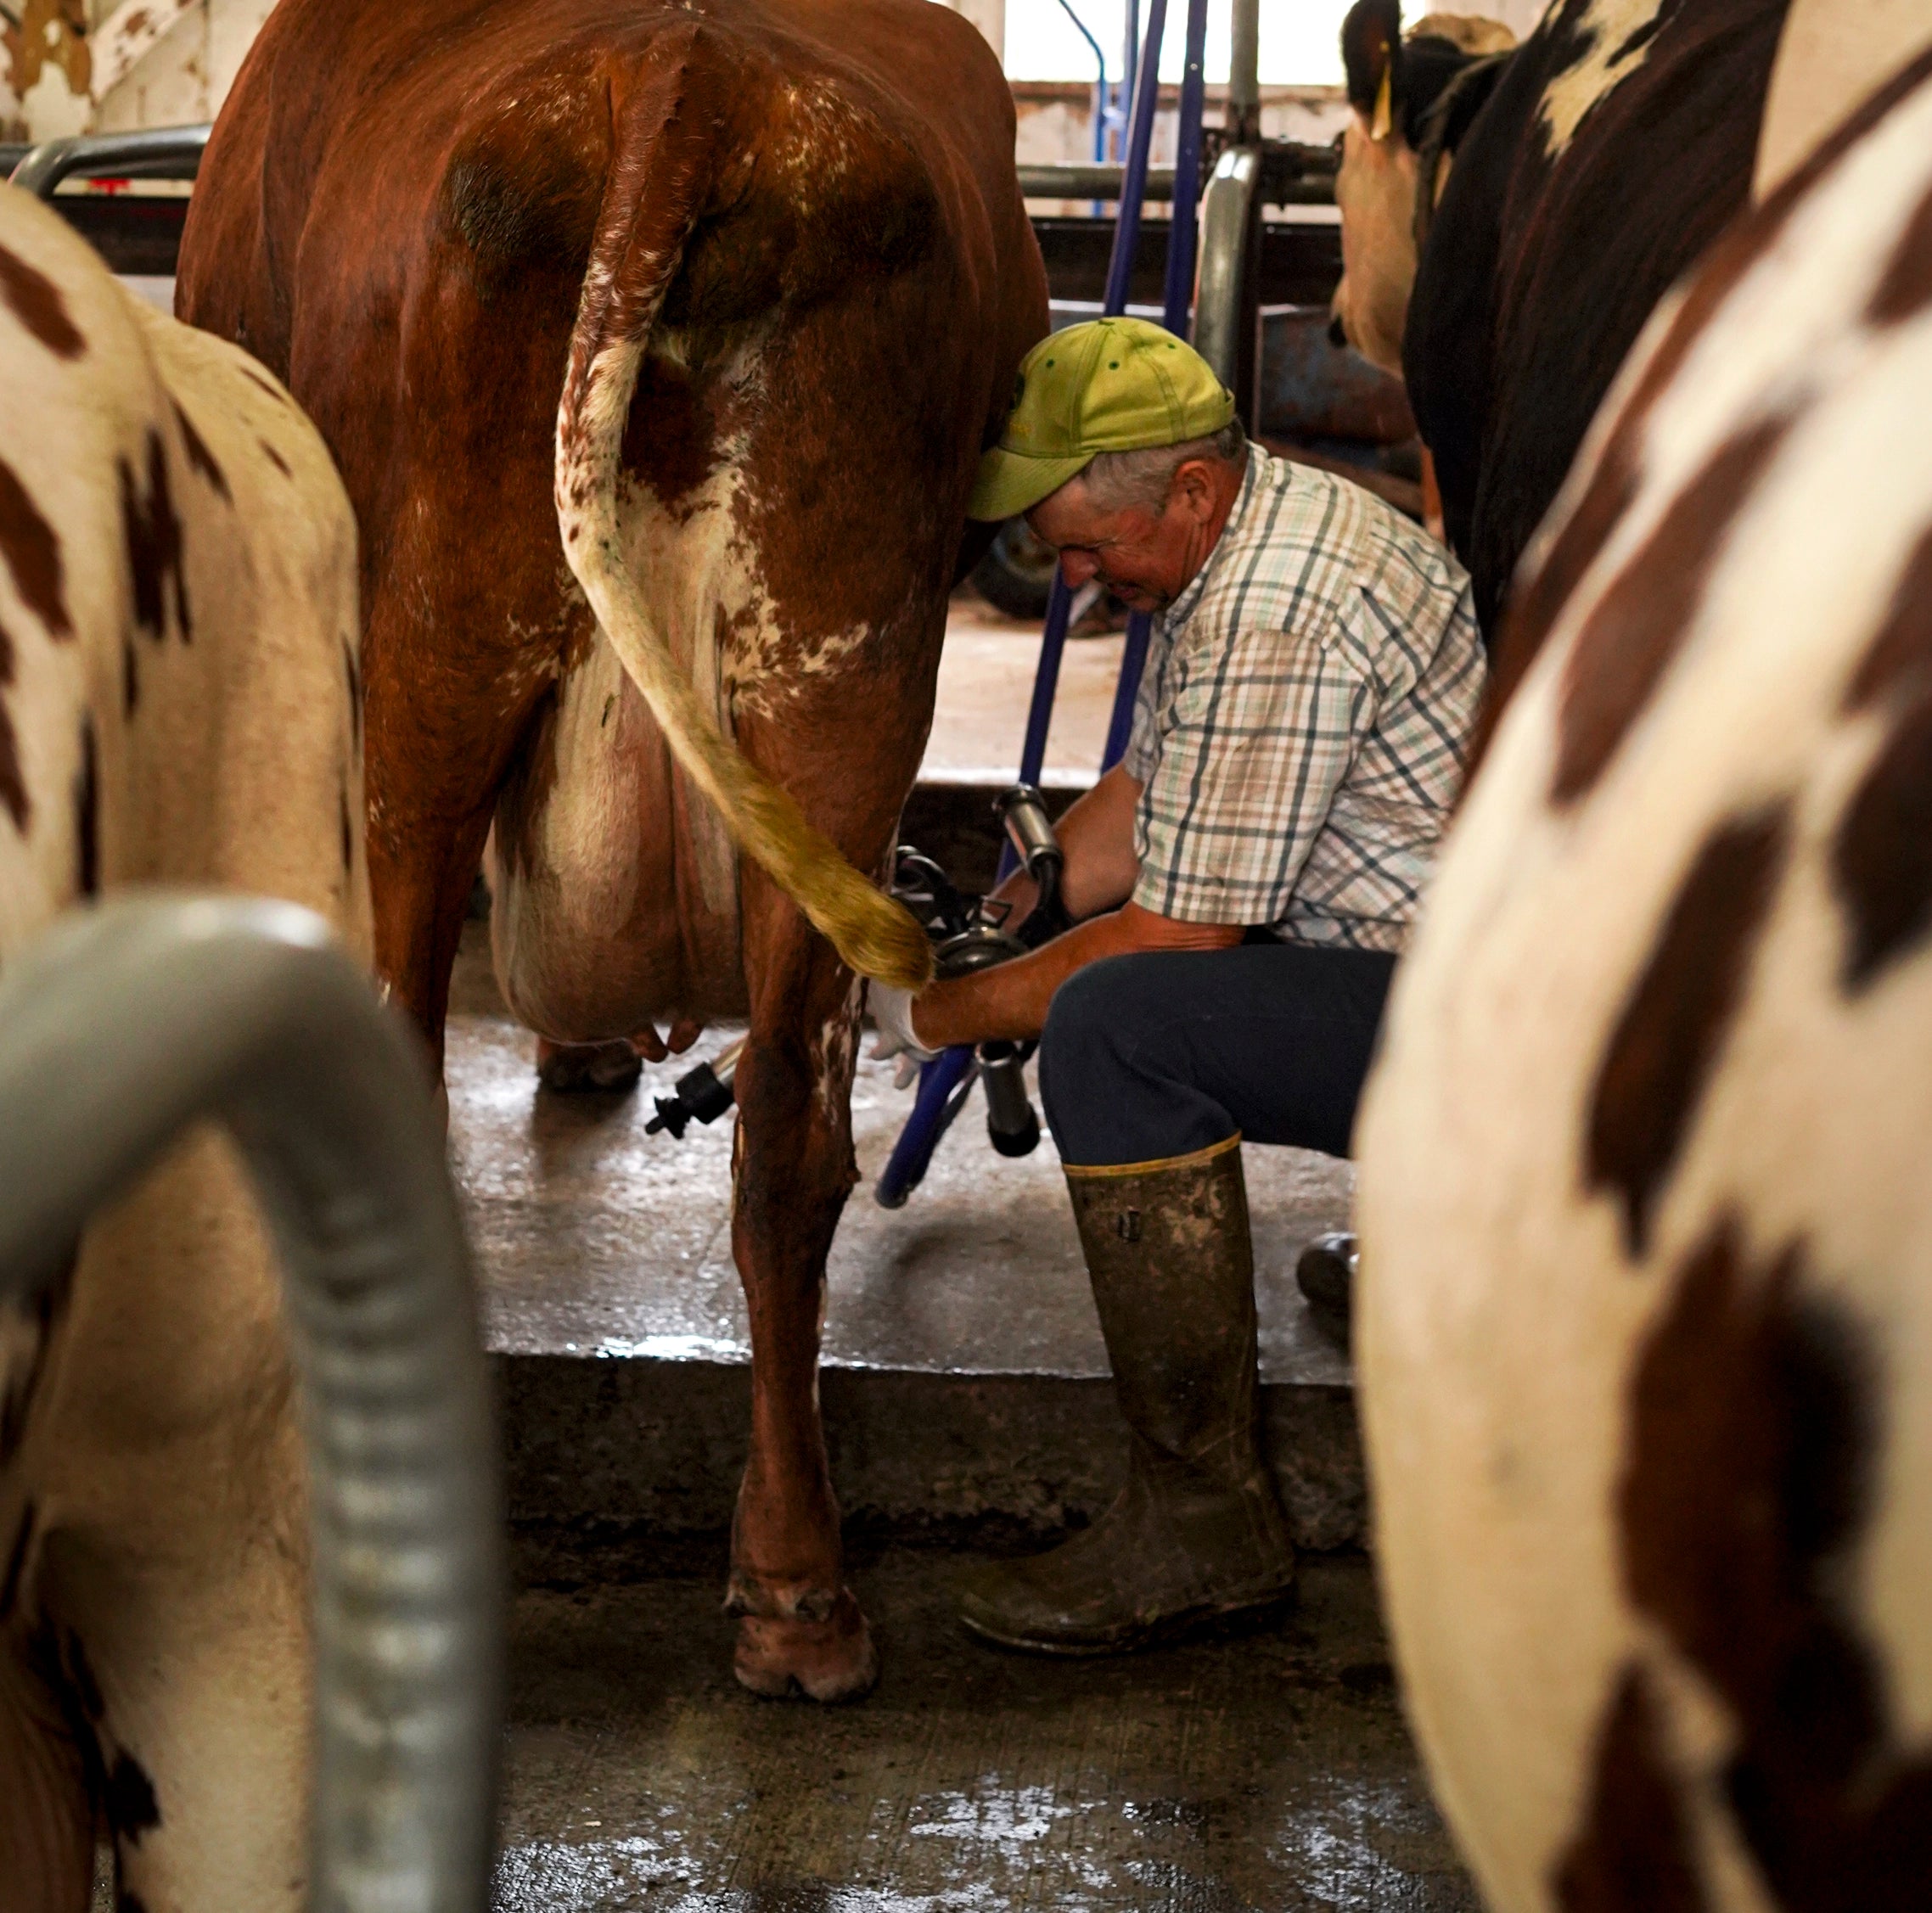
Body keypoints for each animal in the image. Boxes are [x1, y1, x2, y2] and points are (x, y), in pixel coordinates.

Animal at [177, 0, 1059, 1700]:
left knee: (406, 1045)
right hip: (835, 686)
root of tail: (684, 74)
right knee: (786, 1127)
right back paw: (796, 1585)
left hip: (433, 646)